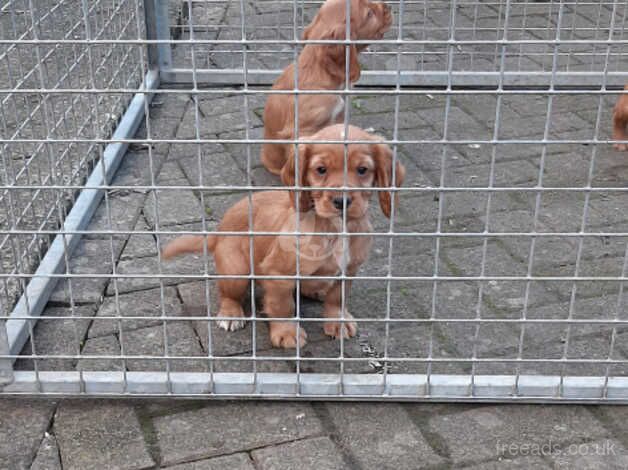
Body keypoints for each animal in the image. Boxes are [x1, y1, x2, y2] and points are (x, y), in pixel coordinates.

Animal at [164, 125, 404, 348]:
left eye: (362, 170)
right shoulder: (279, 273)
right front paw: (287, 332)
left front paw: (338, 321)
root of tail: (219, 231)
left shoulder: (348, 270)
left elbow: (338, 297)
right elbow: (282, 306)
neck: (334, 228)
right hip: (236, 270)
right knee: (228, 293)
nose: (341, 201)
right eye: (321, 170)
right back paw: (230, 314)